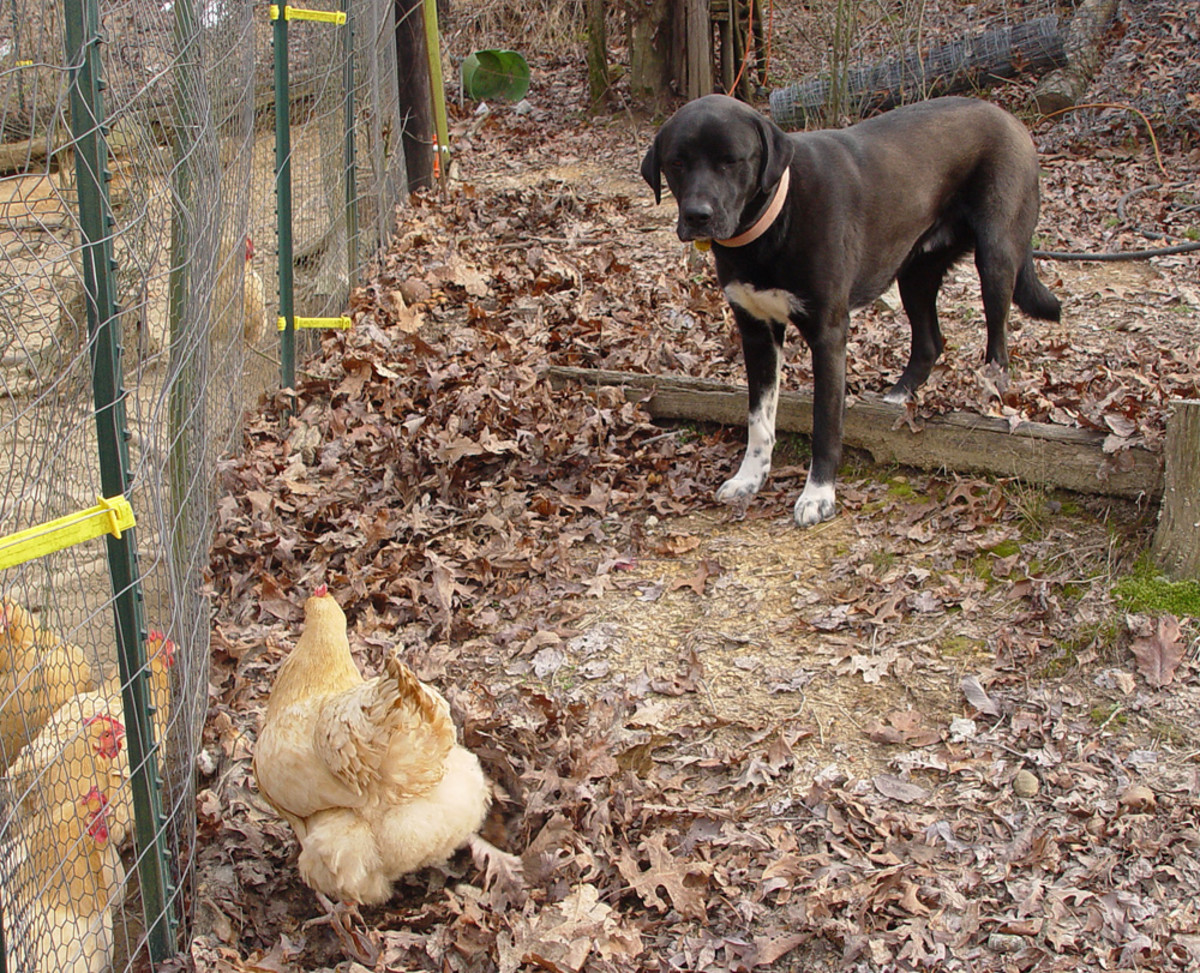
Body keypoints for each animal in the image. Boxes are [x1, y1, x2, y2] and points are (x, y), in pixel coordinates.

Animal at [643, 92, 1056, 525]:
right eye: (676, 162)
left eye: (731, 160)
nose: (697, 215)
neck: (775, 221)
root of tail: (1007, 116)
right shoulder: (756, 330)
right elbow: (759, 418)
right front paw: (749, 478)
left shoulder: (828, 333)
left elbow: (825, 423)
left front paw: (818, 495)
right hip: (914, 269)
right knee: (930, 342)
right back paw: (897, 398)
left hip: (996, 255)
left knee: (999, 343)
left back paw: (992, 394)